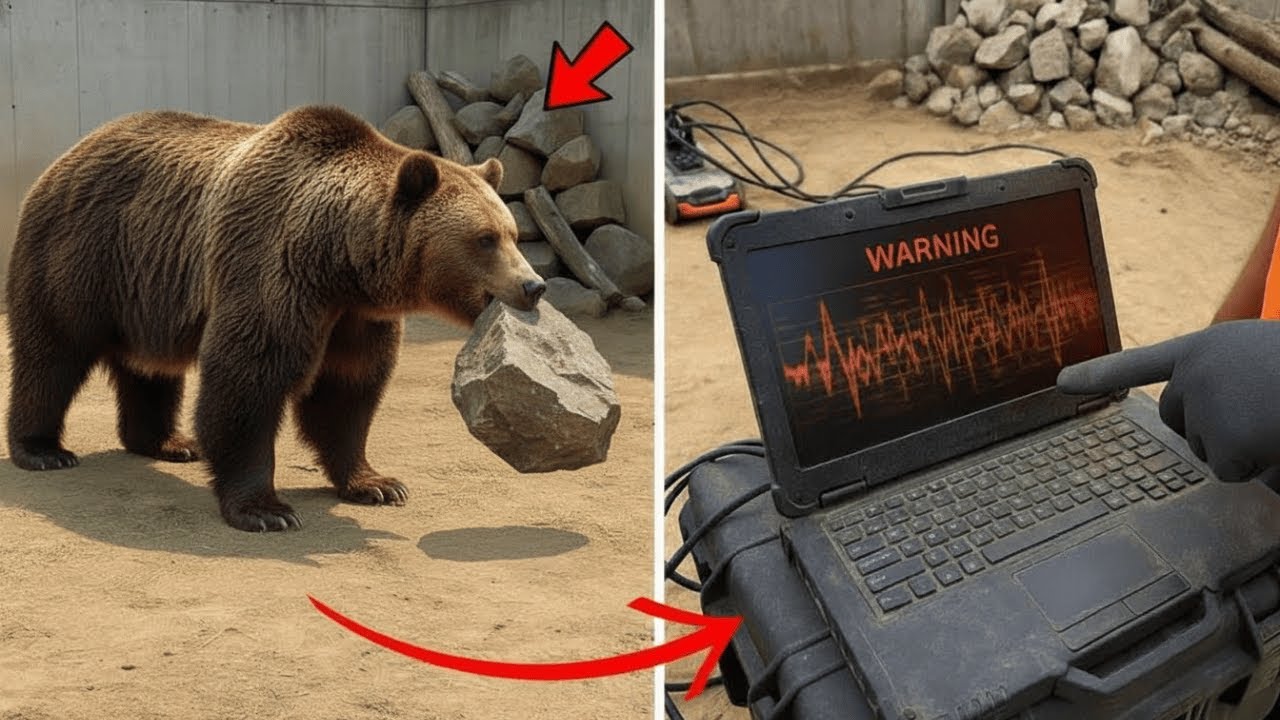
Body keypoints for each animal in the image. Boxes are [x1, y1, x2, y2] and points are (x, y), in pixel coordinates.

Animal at [5, 105, 546, 532]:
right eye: (484, 238)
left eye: (514, 233)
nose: (533, 285)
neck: (338, 262)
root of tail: (72, 151)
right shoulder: (272, 267)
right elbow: (248, 380)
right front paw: (266, 509)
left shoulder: (355, 318)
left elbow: (347, 392)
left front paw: (377, 483)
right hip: (82, 252)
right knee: (52, 351)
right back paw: (44, 450)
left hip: (146, 288)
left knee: (149, 367)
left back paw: (169, 442)